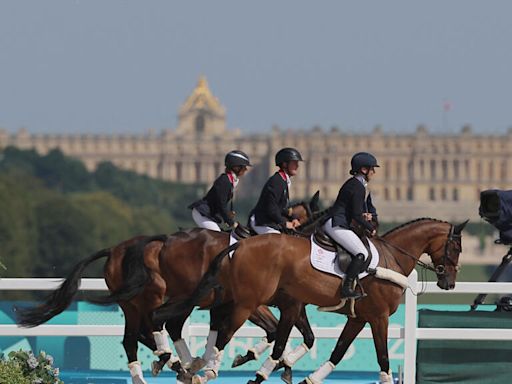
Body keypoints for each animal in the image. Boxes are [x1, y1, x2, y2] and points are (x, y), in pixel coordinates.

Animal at [18, 192, 326, 384]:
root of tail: (117, 249)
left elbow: (296, 335)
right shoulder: (252, 304)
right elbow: (271, 331)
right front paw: (242, 358)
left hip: (138, 303)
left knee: (138, 336)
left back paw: (170, 367)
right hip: (159, 296)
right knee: (155, 328)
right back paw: (174, 363)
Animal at [159, 218, 468, 382]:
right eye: (455, 247)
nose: (449, 283)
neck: (391, 259)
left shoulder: (356, 317)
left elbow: (335, 350)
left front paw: (307, 376)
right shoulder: (378, 317)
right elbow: (382, 358)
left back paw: (186, 365)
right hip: (242, 302)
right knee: (214, 331)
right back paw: (198, 367)